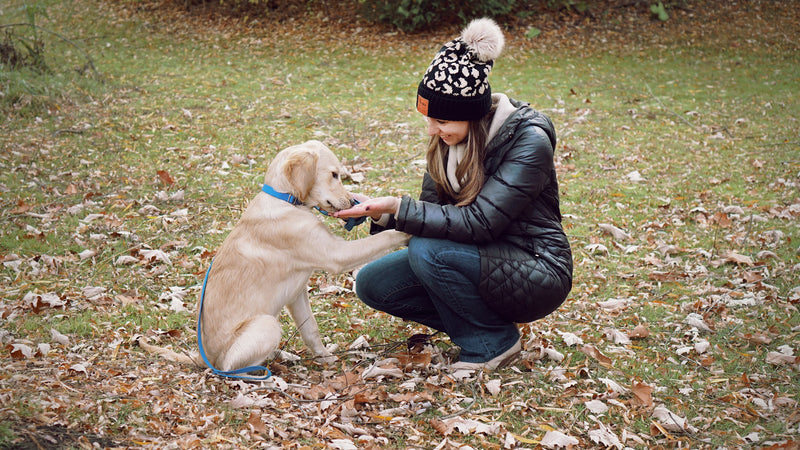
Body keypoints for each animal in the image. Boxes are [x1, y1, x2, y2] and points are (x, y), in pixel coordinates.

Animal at [138, 142, 410, 372]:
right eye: (334, 174)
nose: (352, 202)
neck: (286, 200)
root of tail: (203, 358)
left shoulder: (297, 292)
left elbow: (310, 328)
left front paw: (325, 357)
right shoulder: (336, 254)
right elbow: (382, 238)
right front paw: (406, 228)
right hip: (266, 325)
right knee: (230, 367)